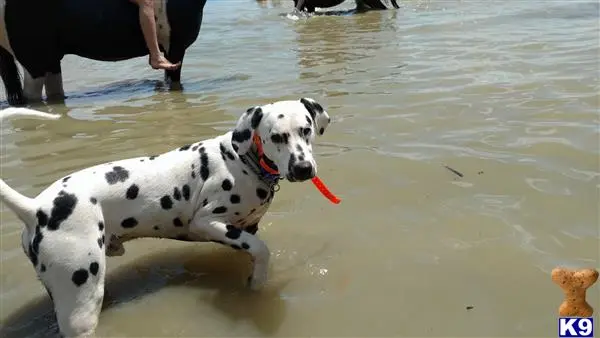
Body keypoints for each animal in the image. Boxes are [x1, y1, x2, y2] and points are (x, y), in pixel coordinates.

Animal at [0, 97, 330, 338]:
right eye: (276, 136)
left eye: (306, 129)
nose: (303, 168)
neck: (241, 160)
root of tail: (36, 207)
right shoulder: (207, 223)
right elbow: (262, 251)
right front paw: (258, 282)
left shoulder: (246, 228)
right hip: (81, 302)